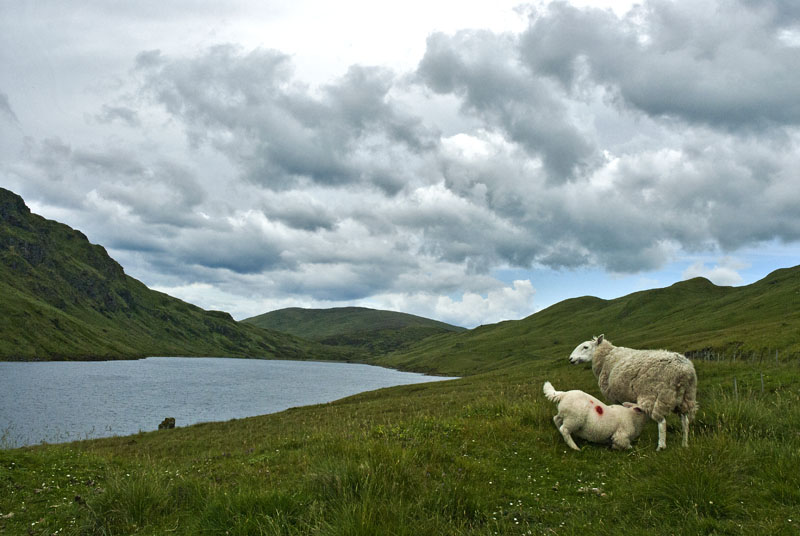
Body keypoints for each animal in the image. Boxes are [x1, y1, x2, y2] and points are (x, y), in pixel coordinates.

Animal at [564, 338, 696, 450]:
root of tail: (684, 372)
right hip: (685, 398)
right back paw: (685, 444)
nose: (570, 359)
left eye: (585, 347)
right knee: (685, 421)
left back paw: (661, 447)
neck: (606, 358)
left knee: (662, 422)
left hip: (656, 396)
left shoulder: (615, 397)